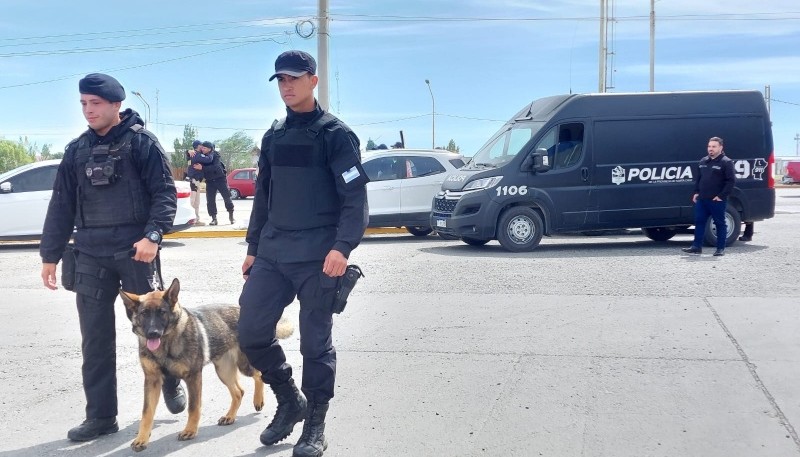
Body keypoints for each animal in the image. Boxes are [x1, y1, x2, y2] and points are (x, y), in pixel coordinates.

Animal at [119, 276, 294, 450]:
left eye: (162, 313)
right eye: (144, 314)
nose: (153, 333)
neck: (166, 344)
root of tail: (241, 311)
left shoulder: (193, 377)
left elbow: (193, 407)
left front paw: (190, 430)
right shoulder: (152, 380)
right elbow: (146, 412)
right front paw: (142, 438)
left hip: (244, 365)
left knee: (258, 374)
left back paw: (258, 400)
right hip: (223, 371)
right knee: (239, 391)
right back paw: (230, 416)